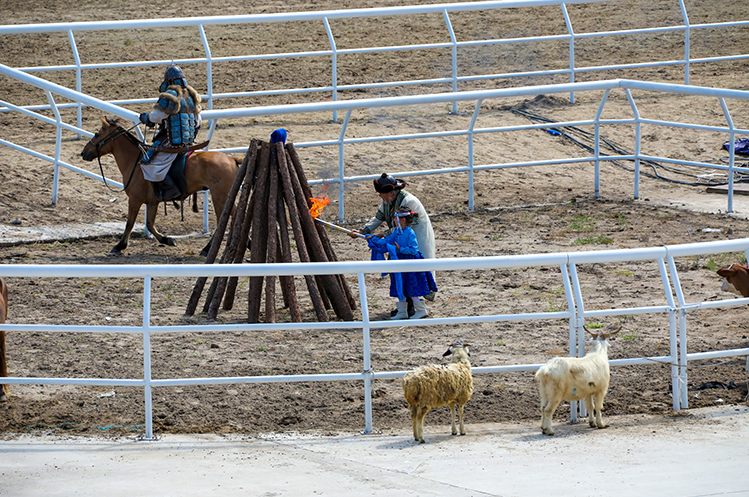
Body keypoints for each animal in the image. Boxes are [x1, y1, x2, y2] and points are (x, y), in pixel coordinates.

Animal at [79, 116, 238, 254]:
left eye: (97, 134)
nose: (83, 152)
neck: (135, 162)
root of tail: (232, 159)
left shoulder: (135, 200)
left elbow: (130, 222)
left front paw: (120, 245)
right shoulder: (152, 202)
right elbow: (150, 224)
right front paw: (167, 240)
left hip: (221, 198)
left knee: (224, 220)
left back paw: (208, 249)